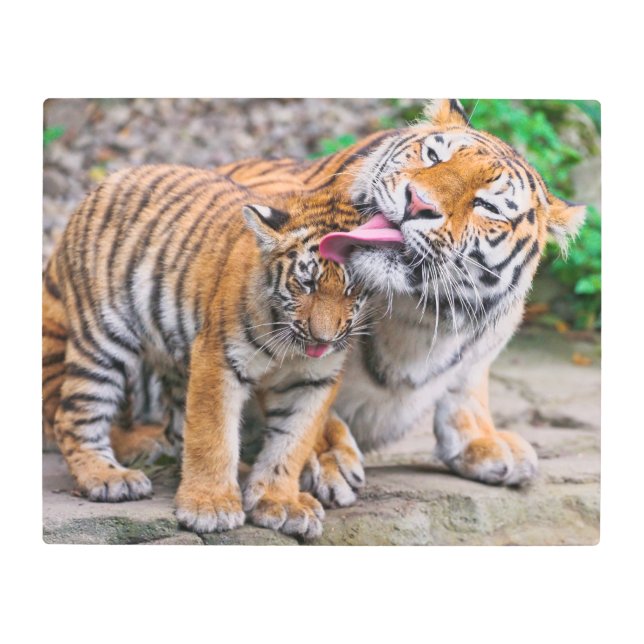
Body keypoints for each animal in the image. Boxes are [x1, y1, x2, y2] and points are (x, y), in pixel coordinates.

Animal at [41, 168, 370, 538]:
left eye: (352, 288)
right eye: (306, 284)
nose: (323, 339)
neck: (290, 344)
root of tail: (108, 180)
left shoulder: (313, 380)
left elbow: (292, 441)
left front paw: (280, 501)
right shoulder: (220, 357)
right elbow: (213, 434)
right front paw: (210, 506)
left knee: (174, 427)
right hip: (102, 338)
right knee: (72, 415)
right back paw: (109, 477)